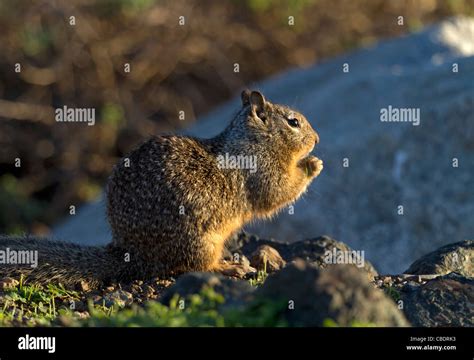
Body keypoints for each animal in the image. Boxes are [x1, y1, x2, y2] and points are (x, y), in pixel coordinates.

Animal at [0, 89, 322, 286]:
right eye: (293, 122)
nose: (317, 139)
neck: (252, 140)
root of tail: (131, 252)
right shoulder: (263, 173)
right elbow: (278, 193)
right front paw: (312, 164)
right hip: (199, 242)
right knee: (193, 267)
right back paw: (229, 267)